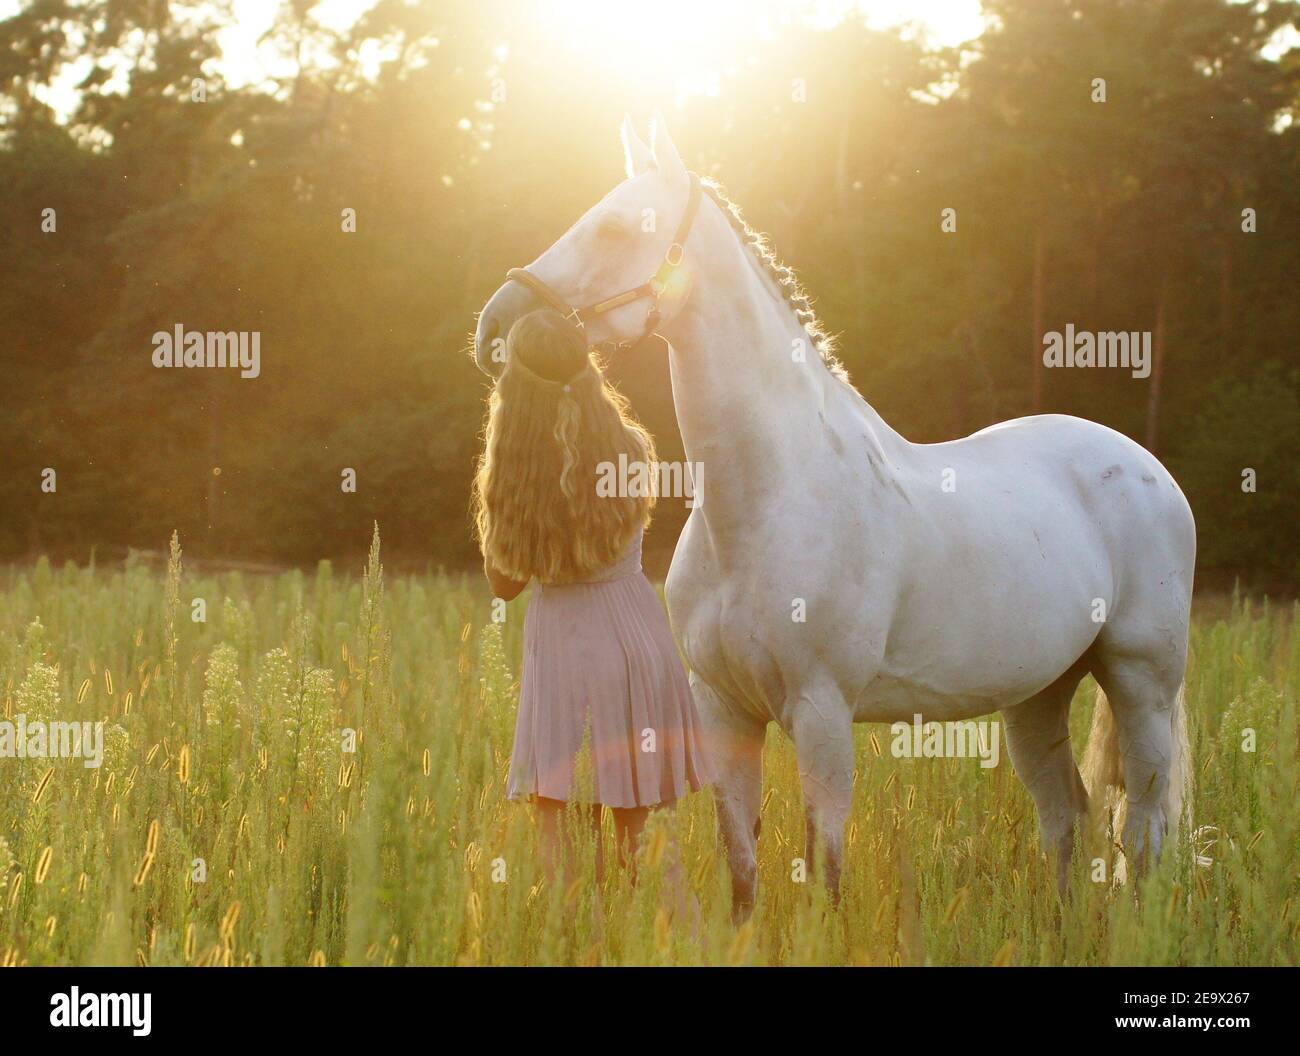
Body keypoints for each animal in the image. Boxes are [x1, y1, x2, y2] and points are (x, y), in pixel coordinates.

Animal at [474, 116, 1195, 916]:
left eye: (615, 227)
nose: (493, 325)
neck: (767, 503)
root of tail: (1148, 468)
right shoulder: (723, 710)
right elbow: (742, 866)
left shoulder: (823, 714)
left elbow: (824, 870)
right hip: (1039, 692)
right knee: (1067, 816)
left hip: (1141, 680)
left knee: (1143, 830)